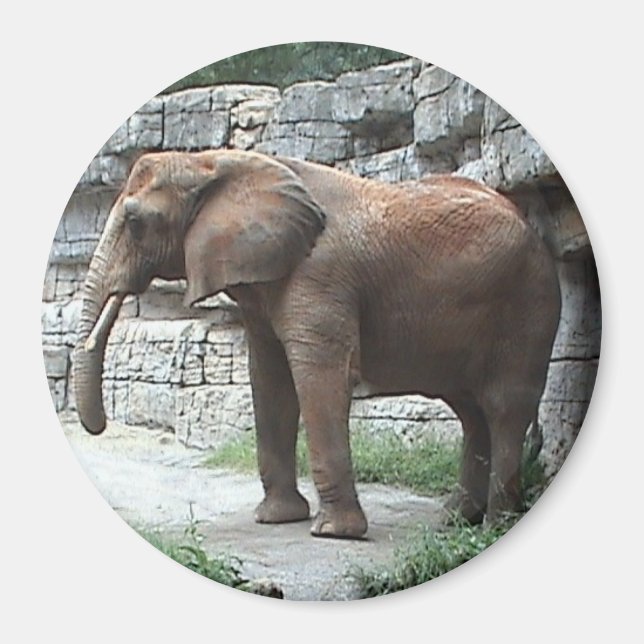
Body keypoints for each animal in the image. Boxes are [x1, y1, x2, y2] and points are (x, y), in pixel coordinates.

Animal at [72, 149, 561, 539]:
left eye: (135, 222)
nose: (100, 427)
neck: (213, 162)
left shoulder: (320, 275)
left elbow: (318, 379)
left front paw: (333, 533)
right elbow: (269, 379)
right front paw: (276, 519)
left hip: (527, 302)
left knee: (502, 406)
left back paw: (494, 525)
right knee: (470, 409)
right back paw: (455, 520)